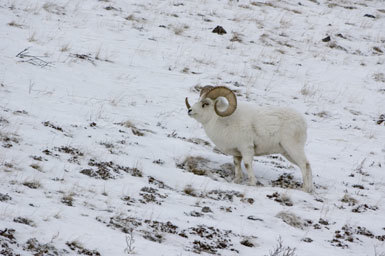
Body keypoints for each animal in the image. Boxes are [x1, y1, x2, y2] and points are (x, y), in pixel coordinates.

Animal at [184, 85, 314, 193]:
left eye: (205, 104)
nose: (189, 111)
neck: (224, 122)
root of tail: (302, 122)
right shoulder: (237, 153)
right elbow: (237, 165)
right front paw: (236, 181)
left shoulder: (246, 149)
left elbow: (247, 164)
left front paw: (252, 183)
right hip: (287, 153)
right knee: (307, 165)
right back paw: (309, 189)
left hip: (293, 148)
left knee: (304, 165)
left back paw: (305, 189)